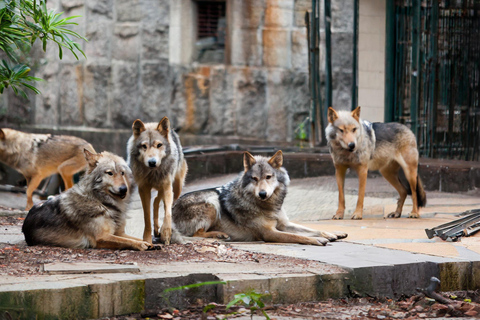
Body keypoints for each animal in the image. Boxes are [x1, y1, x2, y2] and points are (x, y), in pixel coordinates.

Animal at [21, 149, 150, 251]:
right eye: (110, 173)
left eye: (122, 173)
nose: (124, 189)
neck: (103, 203)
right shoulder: (101, 237)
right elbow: (127, 241)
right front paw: (142, 245)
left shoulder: (120, 233)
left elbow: (137, 238)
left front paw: (149, 243)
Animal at [127, 117, 188, 245]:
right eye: (144, 146)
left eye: (159, 145)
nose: (152, 162)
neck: (153, 173)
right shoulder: (143, 189)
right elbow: (147, 216)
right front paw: (147, 239)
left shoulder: (167, 187)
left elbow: (168, 213)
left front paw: (166, 233)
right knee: (155, 201)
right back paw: (155, 230)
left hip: (176, 188)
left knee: (162, 203)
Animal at [174, 151, 346, 246]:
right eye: (255, 179)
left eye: (268, 177)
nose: (262, 194)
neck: (269, 206)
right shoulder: (269, 233)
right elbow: (298, 236)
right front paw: (318, 240)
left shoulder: (284, 224)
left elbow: (311, 229)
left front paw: (333, 234)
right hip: (211, 202)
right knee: (196, 233)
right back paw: (219, 235)